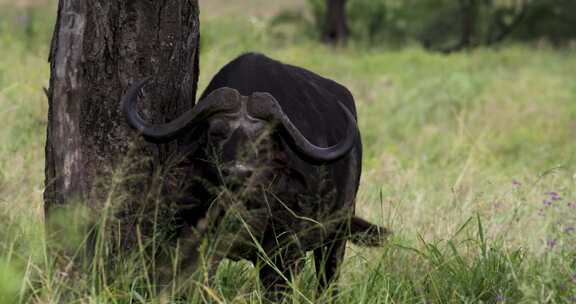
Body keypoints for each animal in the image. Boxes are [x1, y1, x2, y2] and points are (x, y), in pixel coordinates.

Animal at [124, 53, 390, 298]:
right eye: (216, 132)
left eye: (264, 140)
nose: (238, 173)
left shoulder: (285, 250)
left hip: (337, 233)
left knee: (329, 278)